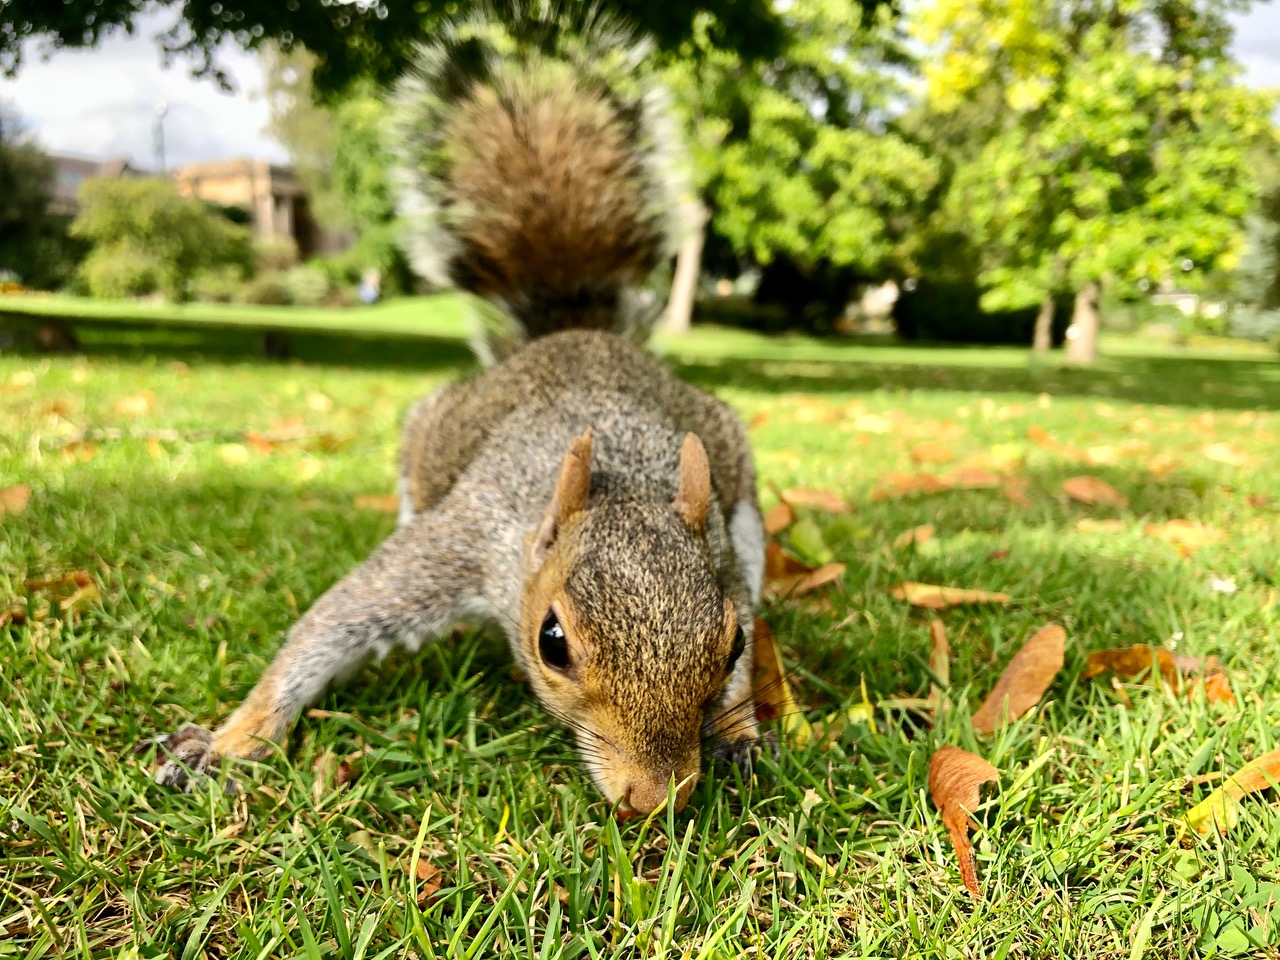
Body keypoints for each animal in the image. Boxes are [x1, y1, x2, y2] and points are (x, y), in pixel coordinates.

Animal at [148, 10, 767, 816]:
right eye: (552, 643)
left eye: (731, 646)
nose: (653, 797)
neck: (622, 478)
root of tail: (575, 333)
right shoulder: (460, 542)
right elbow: (334, 621)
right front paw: (229, 742)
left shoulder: (728, 554)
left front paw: (743, 731)